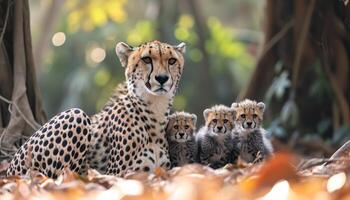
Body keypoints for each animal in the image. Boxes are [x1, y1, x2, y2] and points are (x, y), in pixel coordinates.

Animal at [6, 39, 186, 177]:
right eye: (147, 59)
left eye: (172, 61)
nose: (162, 78)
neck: (155, 109)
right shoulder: (118, 174)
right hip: (76, 116)